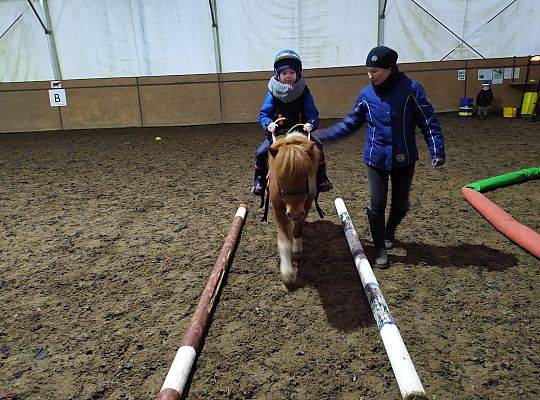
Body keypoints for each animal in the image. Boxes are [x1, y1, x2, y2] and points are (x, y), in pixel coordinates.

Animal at [266, 133, 318, 290]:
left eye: (305, 175)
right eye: (280, 178)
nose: (294, 213)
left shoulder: (306, 205)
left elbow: (297, 231)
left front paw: (297, 252)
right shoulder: (278, 208)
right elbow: (284, 240)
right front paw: (287, 274)